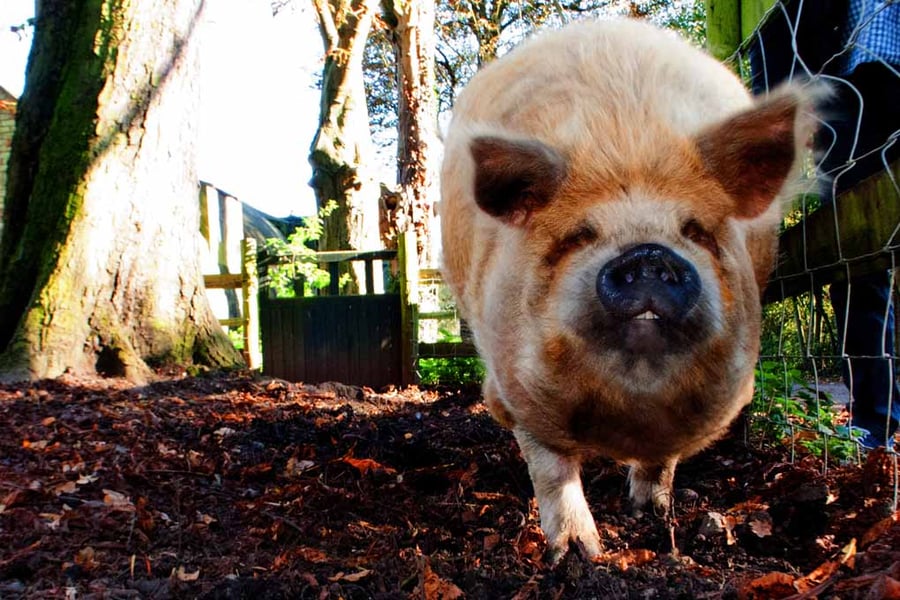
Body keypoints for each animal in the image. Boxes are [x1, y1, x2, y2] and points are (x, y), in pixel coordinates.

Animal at [439, 19, 822, 561]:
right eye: (580, 235)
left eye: (695, 231)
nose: (648, 255)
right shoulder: (516, 386)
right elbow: (552, 470)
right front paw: (578, 555)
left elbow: (664, 458)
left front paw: (651, 515)